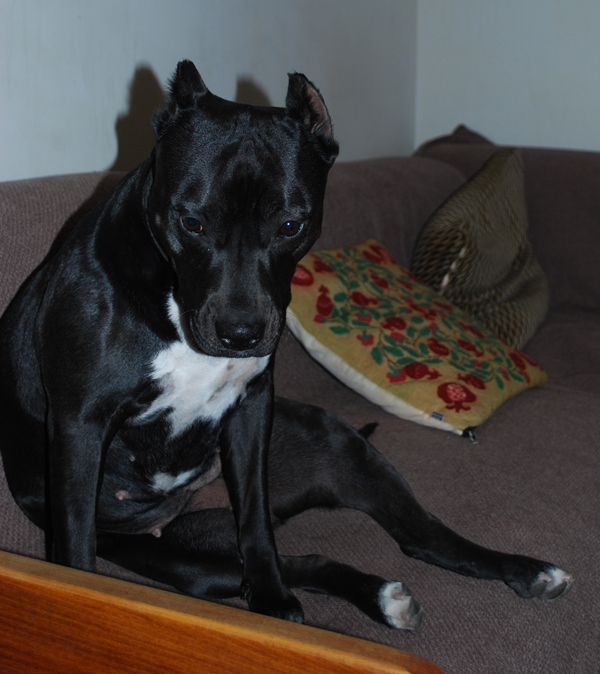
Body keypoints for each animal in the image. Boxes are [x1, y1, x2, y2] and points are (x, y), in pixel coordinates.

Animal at [0, 61, 573, 629]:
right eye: (192, 222)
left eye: (292, 225)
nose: (240, 334)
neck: (170, 297)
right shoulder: (81, 426)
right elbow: (76, 551)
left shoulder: (253, 411)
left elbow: (255, 522)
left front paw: (272, 599)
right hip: (187, 562)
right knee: (300, 559)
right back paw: (382, 596)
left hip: (335, 445)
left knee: (416, 538)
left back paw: (522, 574)